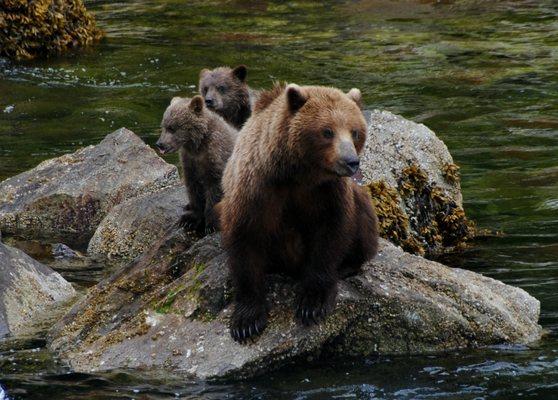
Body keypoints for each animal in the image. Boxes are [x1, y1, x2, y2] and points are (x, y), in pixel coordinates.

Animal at [221, 83, 382, 342]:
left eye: (355, 132)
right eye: (327, 131)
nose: (351, 161)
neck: (298, 174)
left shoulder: (328, 192)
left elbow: (330, 236)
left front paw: (312, 304)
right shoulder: (256, 188)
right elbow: (244, 241)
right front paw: (246, 320)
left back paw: (347, 266)